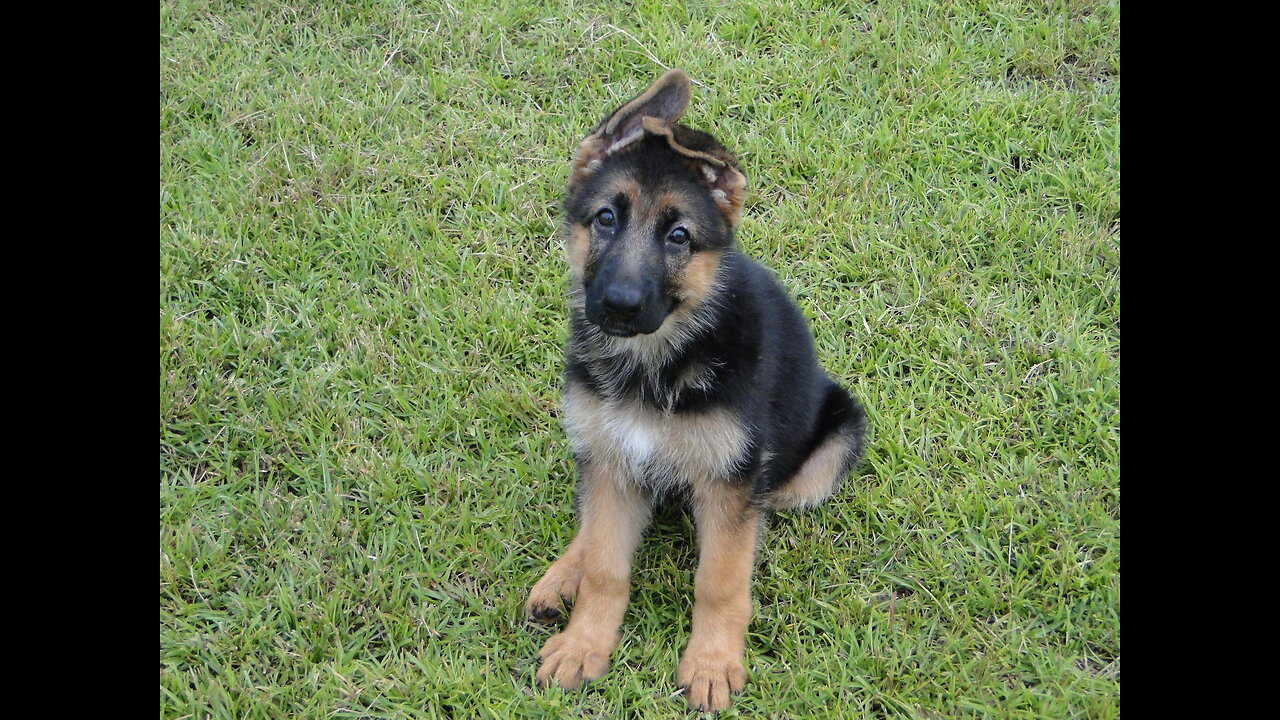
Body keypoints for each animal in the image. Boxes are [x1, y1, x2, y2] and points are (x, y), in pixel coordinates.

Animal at [524, 70, 865, 707]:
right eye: (605, 218)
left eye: (679, 235)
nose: (619, 305)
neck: (656, 362)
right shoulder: (612, 459)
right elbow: (606, 566)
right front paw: (585, 643)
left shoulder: (730, 481)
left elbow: (721, 580)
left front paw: (711, 663)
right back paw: (562, 575)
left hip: (822, 454)